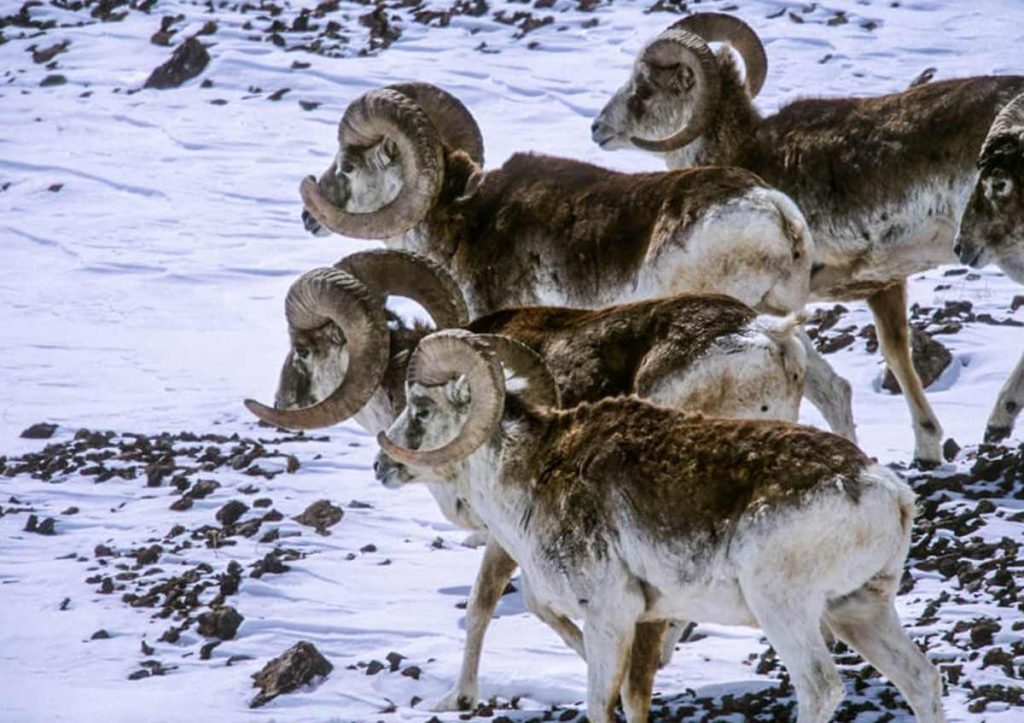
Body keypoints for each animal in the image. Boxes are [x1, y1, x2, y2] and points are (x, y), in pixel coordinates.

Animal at [243, 247, 802, 708]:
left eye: (303, 350)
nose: (281, 401)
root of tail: (767, 339)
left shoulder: (508, 533)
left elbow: (489, 605)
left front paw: (459, 698)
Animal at [296, 80, 856, 438]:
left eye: (348, 164)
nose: (309, 216)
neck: (461, 216)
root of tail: (775, 210)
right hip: (784, 318)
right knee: (835, 391)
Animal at [374, 331, 942, 720]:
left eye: (420, 409)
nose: (383, 464)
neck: (530, 475)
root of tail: (887, 493)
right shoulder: (648, 620)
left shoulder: (608, 617)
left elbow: (601, 708)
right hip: (860, 611)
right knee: (922, 682)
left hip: (787, 610)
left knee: (821, 689)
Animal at [593, 12, 1024, 462]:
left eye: (644, 87)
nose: (597, 128)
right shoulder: (882, 285)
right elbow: (896, 353)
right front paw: (927, 446)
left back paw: (1000, 417)